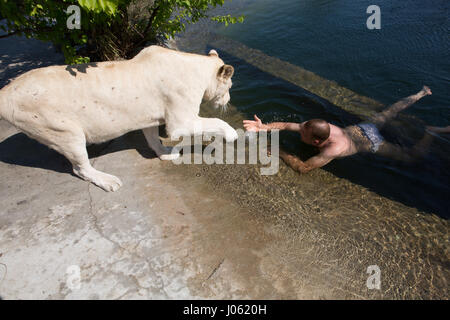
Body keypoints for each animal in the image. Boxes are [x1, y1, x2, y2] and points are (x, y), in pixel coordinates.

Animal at [0, 45, 237, 190]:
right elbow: (215, 122)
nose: (228, 99)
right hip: (65, 132)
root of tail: (6, 91)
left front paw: (164, 154)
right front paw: (232, 134)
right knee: (81, 168)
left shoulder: (148, 116)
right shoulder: (180, 122)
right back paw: (108, 181)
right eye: (230, 86)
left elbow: (153, 139)